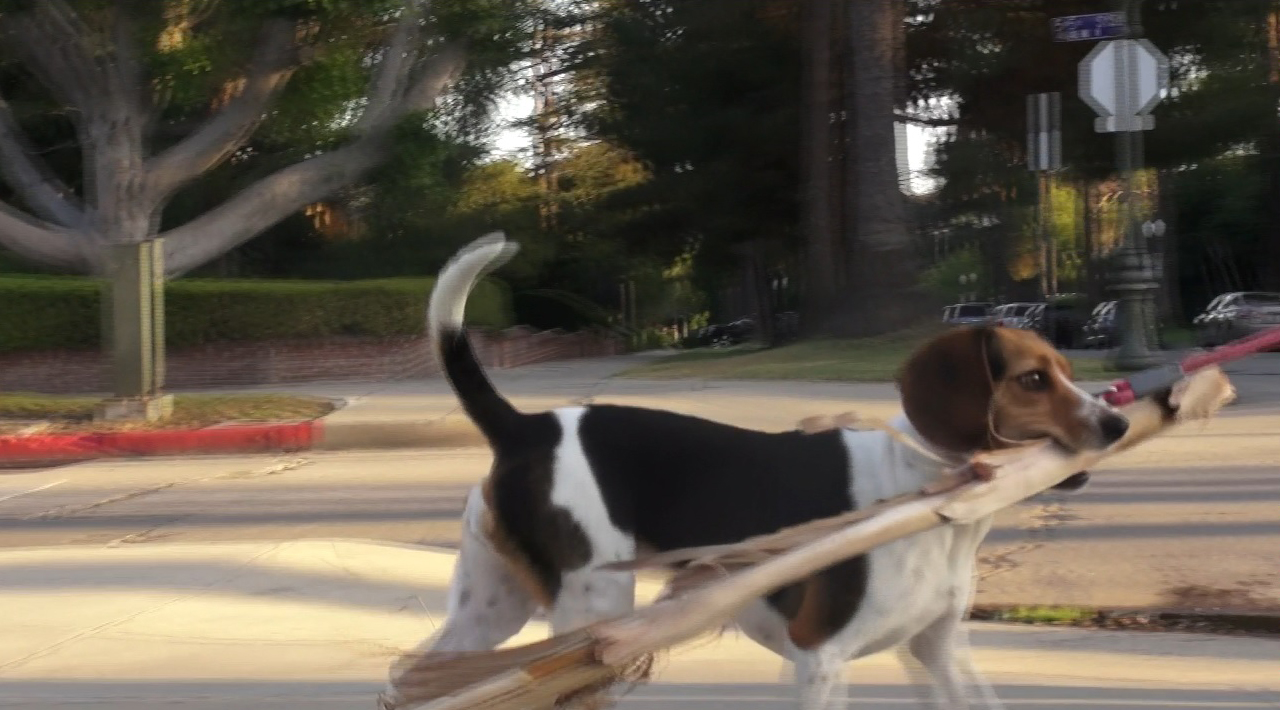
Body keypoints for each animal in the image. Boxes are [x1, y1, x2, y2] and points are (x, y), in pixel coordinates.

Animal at [391, 235, 1131, 710]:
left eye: (1066, 368)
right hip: (590, 615)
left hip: (490, 611)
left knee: (415, 680)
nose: (1119, 424)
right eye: (1032, 380)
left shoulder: (939, 651)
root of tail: (527, 425)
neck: (923, 484)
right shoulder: (819, 658)